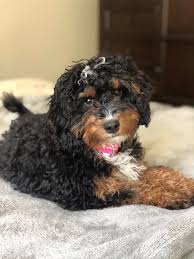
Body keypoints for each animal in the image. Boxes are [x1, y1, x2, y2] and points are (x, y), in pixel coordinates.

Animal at [0, 56, 194, 211]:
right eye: (87, 100)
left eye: (119, 92)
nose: (112, 125)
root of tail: (26, 115)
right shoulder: (88, 192)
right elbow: (136, 189)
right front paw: (175, 196)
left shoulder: (135, 165)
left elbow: (159, 170)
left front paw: (186, 184)